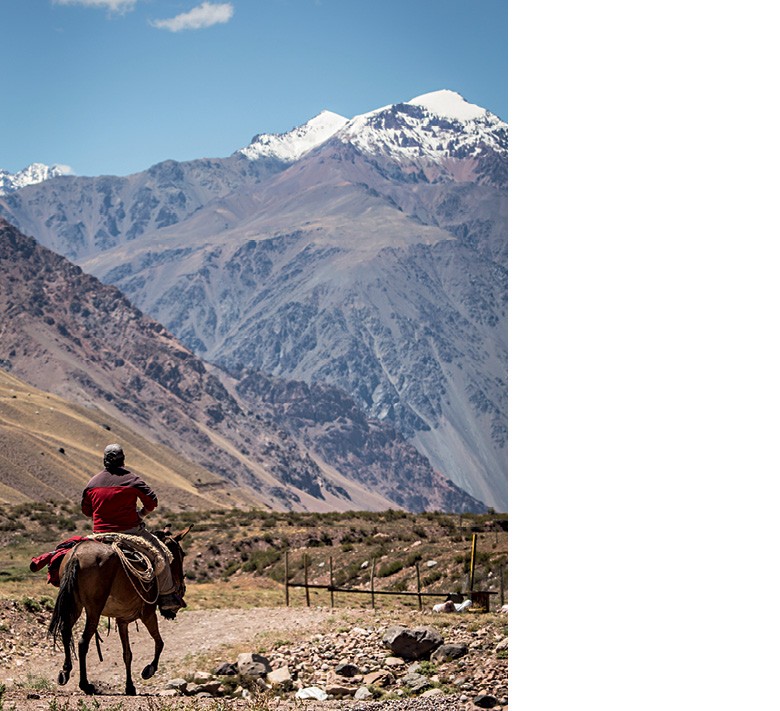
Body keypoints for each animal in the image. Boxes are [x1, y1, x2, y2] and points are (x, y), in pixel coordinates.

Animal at [47, 524, 190, 700]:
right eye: (181, 554)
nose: (182, 588)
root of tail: (77, 555)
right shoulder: (148, 614)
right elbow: (160, 643)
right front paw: (148, 670)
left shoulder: (122, 621)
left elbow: (127, 654)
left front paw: (130, 686)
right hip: (93, 609)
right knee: (83, 642)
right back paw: (86, 685)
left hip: (75, 605)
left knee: (65, 631)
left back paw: (65, 672)